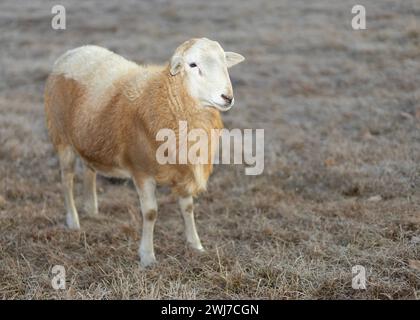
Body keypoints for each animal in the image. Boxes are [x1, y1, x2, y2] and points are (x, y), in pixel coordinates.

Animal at [44, 38, 244, 268]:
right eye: (193, 64)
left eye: (224, 62)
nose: (227, 97)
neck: (166, 98)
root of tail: (74, 52)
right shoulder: (142, 172)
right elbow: (150, 213)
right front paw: (147, 256)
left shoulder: (183, 169)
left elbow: (187, 208)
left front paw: (196, 245)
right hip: (62, 138)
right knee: (67, 179)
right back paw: (73, 220)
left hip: (90, 138)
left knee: (89, 170)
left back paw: (91, 209)